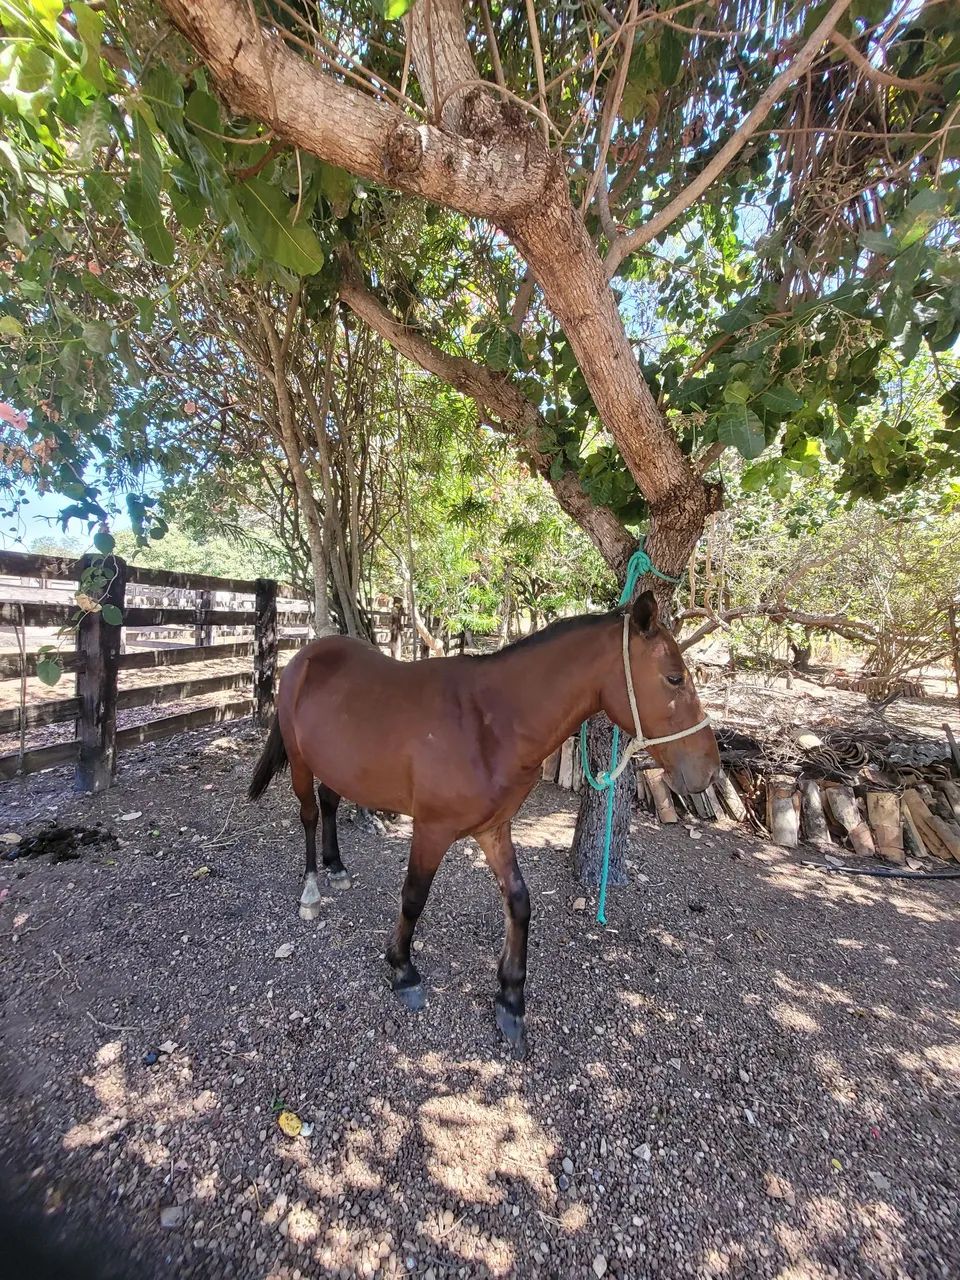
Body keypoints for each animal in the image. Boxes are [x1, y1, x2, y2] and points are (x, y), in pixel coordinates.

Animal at [248, 590, 720, 1053]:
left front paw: (510, 999)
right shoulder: (432, 830)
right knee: (310, 814)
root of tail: (304, 656)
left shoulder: (495, 830)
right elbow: (413, 898)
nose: (710, 769)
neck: (488, 723)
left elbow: (519, 902)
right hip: (301, 762)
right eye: (674, 678)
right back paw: (312, 888)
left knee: (328, 803)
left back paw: (337, 867)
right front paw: (402, 969)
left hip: (339, 767)